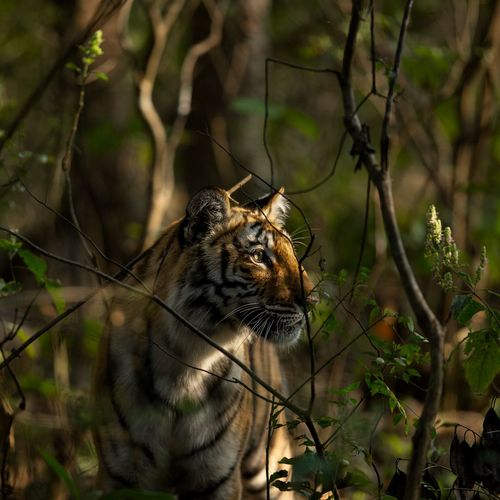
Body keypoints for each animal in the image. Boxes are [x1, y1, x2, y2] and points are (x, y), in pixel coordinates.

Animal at [92, 187, 314, 500]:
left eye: (293, 254)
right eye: (259, 256)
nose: (313, 299)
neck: (185, 362)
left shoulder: (217, 476)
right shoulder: (120, 475)